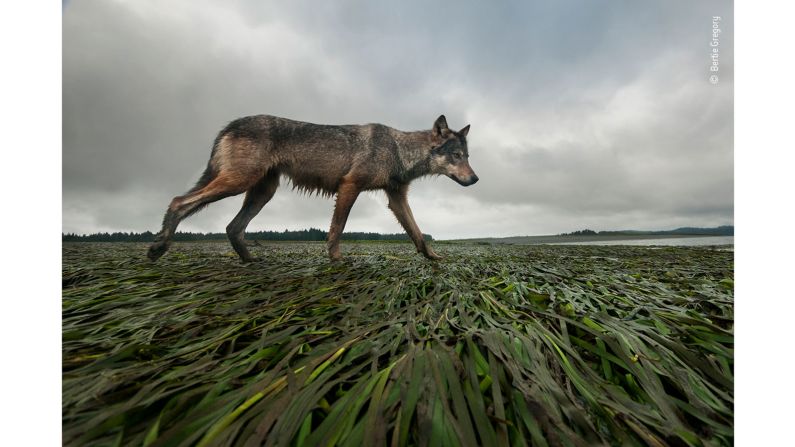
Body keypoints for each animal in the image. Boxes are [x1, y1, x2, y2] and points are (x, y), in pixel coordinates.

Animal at [146, 114, 478, 264]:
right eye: (456, 156)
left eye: (467, 156)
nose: (475, 179)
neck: (398, 150)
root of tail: (230, 124)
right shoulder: (349, 186)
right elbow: (337, 228)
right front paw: (336, 260)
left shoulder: (396, 199)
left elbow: (417, 233)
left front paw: (433, 257)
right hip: (237, 183)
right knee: (179, 201)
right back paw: (158, 247)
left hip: (261, 192)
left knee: (232, 227)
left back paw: (251, 261)